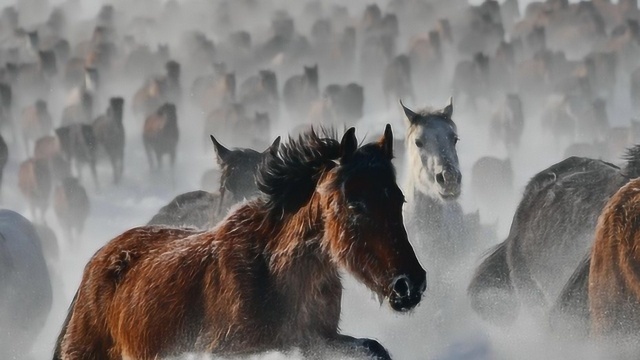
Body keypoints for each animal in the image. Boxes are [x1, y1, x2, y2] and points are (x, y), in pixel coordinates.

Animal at [53, 125, 424, 358]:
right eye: (354, 203)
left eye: (400, 200)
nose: (410, 284)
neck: (275, 273)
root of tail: (98, 260)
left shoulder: (317, 342)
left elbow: (375, 349)